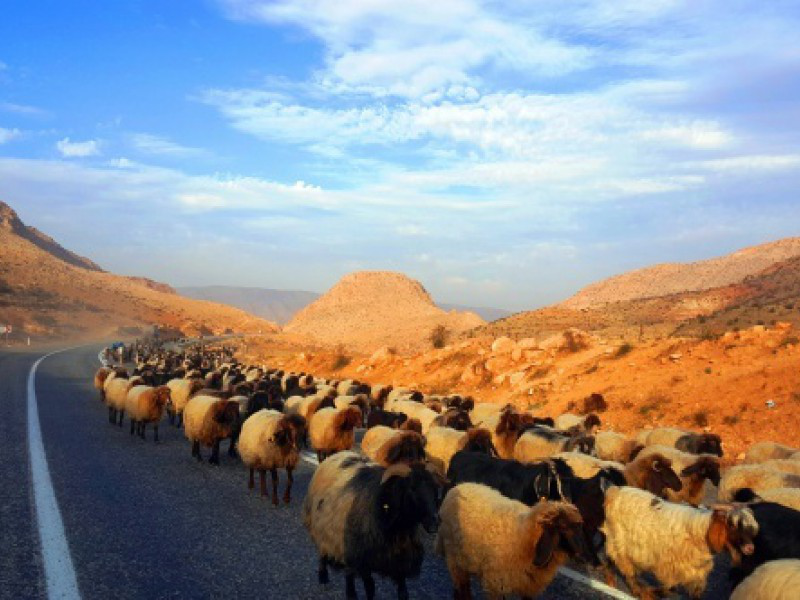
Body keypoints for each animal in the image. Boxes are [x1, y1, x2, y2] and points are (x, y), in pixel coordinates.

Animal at [302, 450, 440, 600]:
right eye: (412, 488)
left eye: (434, 489)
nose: (435, 522)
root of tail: (339, 453)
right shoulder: (363, 558)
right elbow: (370, 587)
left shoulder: (399, 559)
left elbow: (403, 591)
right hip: (327, 531)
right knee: (325, 555)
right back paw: (325, 579)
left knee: (347, 572)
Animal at [434, 482, 592, 600]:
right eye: (564, 527)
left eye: (580, 526)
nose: (585, 556)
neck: (526, 537)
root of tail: (458, 487)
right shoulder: (496, 584)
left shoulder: (528, 587)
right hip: (455, 558)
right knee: (462, 587)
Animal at [604, 488, 760, 600]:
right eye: (732, 525)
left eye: (751, 528)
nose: (750, 548)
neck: (699, 532)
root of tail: (615, 491)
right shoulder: (669, 567)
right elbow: (670, 588)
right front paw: (653, 593)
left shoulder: (697, 573)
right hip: (619, 543)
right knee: (623, 568)